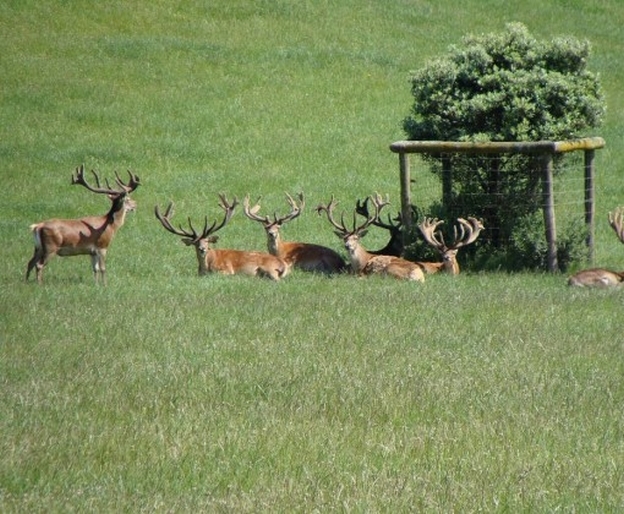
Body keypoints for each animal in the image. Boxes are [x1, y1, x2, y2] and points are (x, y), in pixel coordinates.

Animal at [155, 193, 286, 280]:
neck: (206, 266)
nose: (202, 249)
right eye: (195, 243)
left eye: (207, 241)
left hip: (268, 268)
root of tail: (283, 264)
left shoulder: (227, 269)